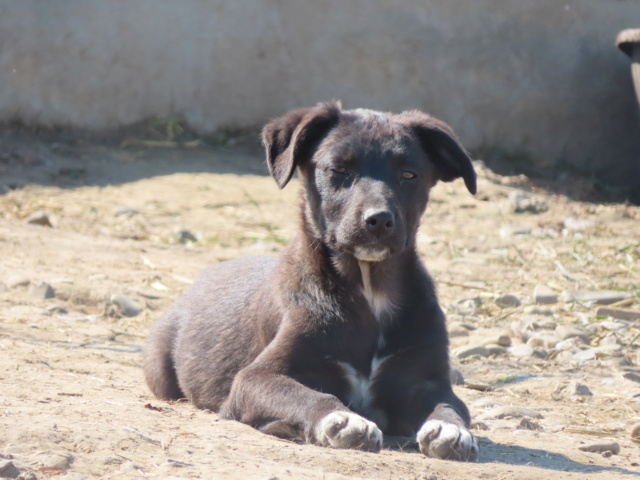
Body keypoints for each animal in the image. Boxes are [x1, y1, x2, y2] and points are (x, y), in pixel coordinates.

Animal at [142, 101, 478, 462]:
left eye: (409, 175)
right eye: (339, 169)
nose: (379, 220)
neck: (370, 288)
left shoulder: (426, 380)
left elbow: (452, 405)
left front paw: (451, 430)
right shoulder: (254, 378)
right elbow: (306, 395)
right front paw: (343, 419)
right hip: (159, 366)